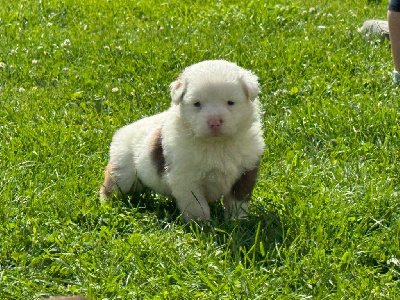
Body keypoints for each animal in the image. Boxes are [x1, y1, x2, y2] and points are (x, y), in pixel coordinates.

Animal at [99, 59, 266, 221]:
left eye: (230, 102)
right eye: (197, 104)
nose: (214, 122)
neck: (216, 145)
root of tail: (122, 131)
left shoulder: (246, 171)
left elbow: (237, 202)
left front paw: (237, 221)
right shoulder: (187, 178)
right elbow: (198, 206)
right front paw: (201, 225)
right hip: (122, 170)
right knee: (110, 187)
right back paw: (106, 206)